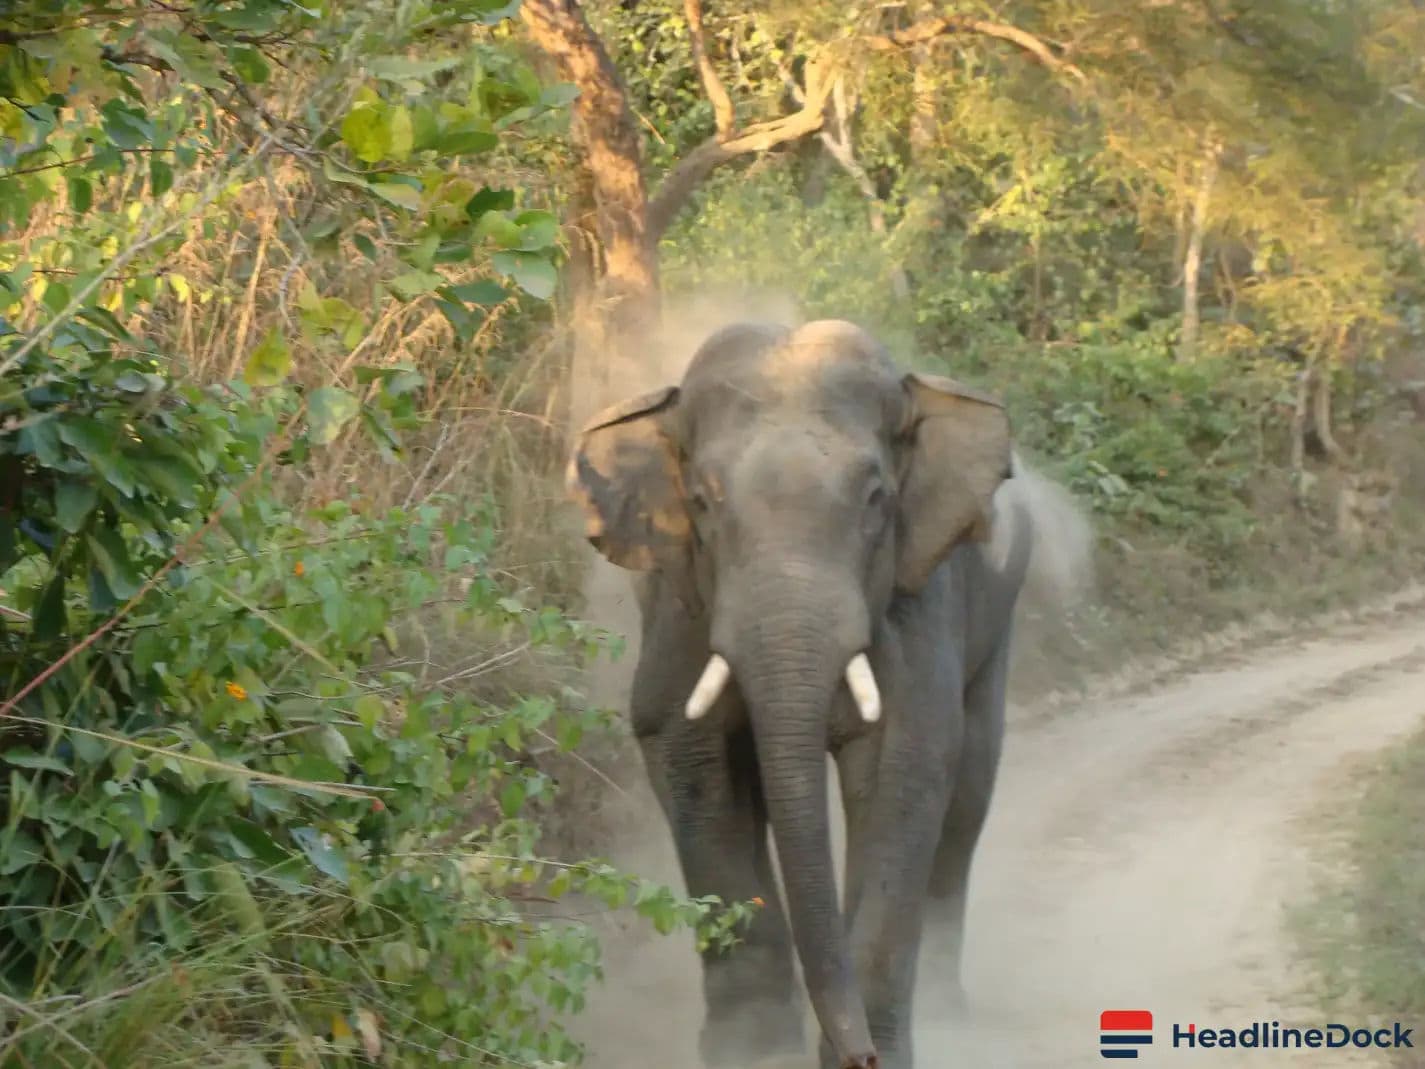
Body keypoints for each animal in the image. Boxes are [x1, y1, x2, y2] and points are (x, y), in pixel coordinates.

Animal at [566, 319, 1037, 1069]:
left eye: (875, 498)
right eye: (701, 502)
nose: (858, 1057)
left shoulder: (917, 599)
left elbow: (903, 762)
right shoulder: (679, 605)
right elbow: (688, 754)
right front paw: (751, 1053)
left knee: (967, 793)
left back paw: (947, 1006)